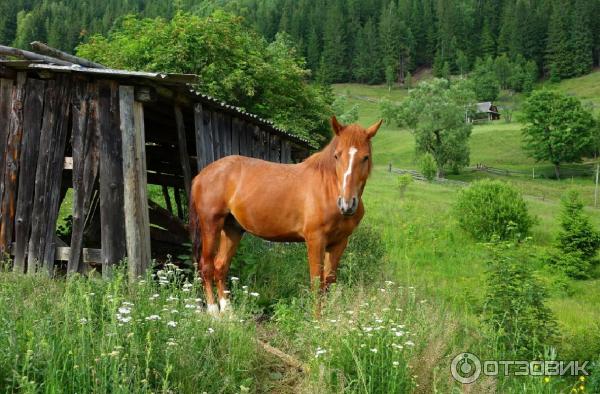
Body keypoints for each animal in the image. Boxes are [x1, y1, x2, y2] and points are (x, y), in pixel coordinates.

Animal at [190, 116, 382, 314]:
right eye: (337, 155)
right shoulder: (315, 240)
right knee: (206, 266)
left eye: (365, 157)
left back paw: (228, 312)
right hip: (211, 224)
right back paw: (213, 311)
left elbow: (328, 281)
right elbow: (316, 281)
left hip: (232, 229)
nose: (347, 204)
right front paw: (317, 318)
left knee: (221, 266)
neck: (328, 187)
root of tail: (202, 174)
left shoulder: (339, 242)